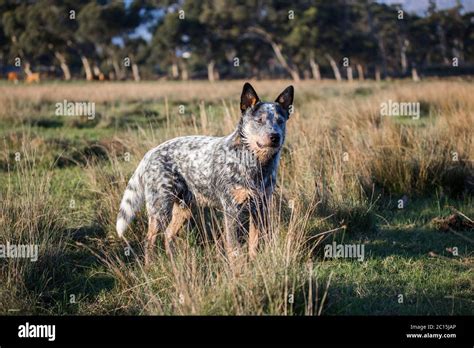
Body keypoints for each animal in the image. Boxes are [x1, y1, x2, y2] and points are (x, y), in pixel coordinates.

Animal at [115, 83, 292, 264]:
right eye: (259, 120)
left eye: (280, 120)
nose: (275, 136)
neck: (257, 165)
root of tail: (150, 152)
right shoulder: (232, 211)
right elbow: (234, 249)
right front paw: (237, 268)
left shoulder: (261, 209)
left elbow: (254, 243)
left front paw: (254, 263)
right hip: (160, 210)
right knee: (149, 241)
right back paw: (150, 266)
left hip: (184, 209)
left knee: (168, 234)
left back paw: (174, 264)